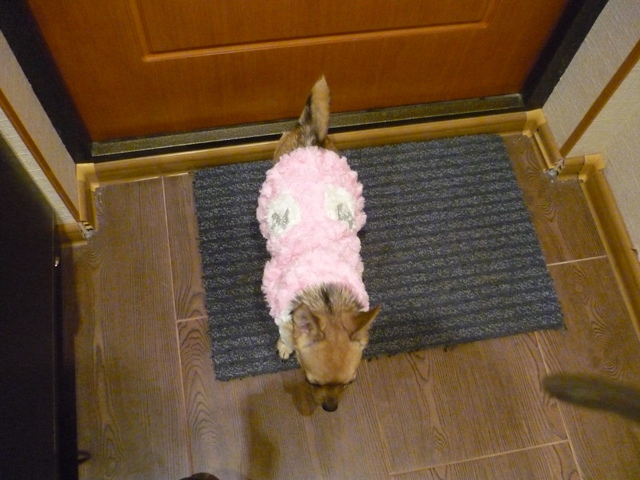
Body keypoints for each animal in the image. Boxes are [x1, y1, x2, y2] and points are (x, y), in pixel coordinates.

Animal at [257, 77, 380, 412]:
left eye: (350, 383)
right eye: (311, 383)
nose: (330, 408)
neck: (326, 297)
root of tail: (312, 138)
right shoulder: (281, 310)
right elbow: (287, 335)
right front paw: (285, 346)